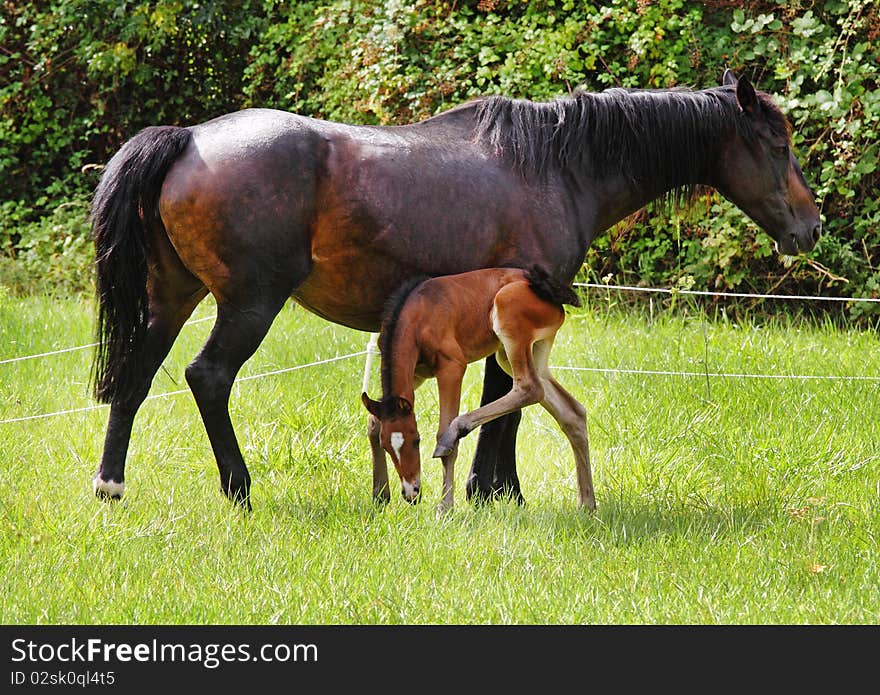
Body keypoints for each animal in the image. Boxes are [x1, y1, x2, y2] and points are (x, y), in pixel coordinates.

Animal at [360, 266, 596, 512]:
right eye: (386, 447)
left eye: (416, 440)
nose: (411, 493)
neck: (418, 314)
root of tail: (549, 290)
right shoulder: (417, 375)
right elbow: (374, 422)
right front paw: (380, 495)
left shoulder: (452, 367)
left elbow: (442, 432)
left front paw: (445, 508)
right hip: (522, 353)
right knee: (572, 412)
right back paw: (587, 503)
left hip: (508, 319)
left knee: (530, 388)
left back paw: (456, 431)